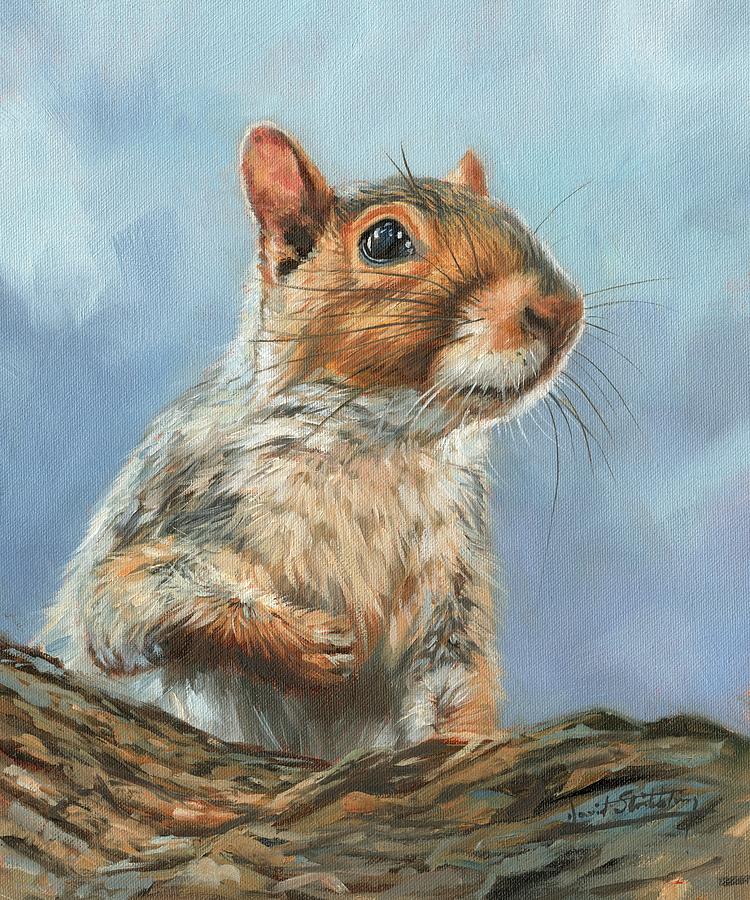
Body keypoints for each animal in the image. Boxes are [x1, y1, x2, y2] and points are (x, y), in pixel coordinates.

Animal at [42, 124, 584, 759]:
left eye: (509, 218)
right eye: (385, 240)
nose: (563, 310)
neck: (383, 445)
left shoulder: (452, 583)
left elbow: (457, 681)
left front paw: (467, 739)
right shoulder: (180, 504)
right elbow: (121, 607)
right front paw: (304, 643)